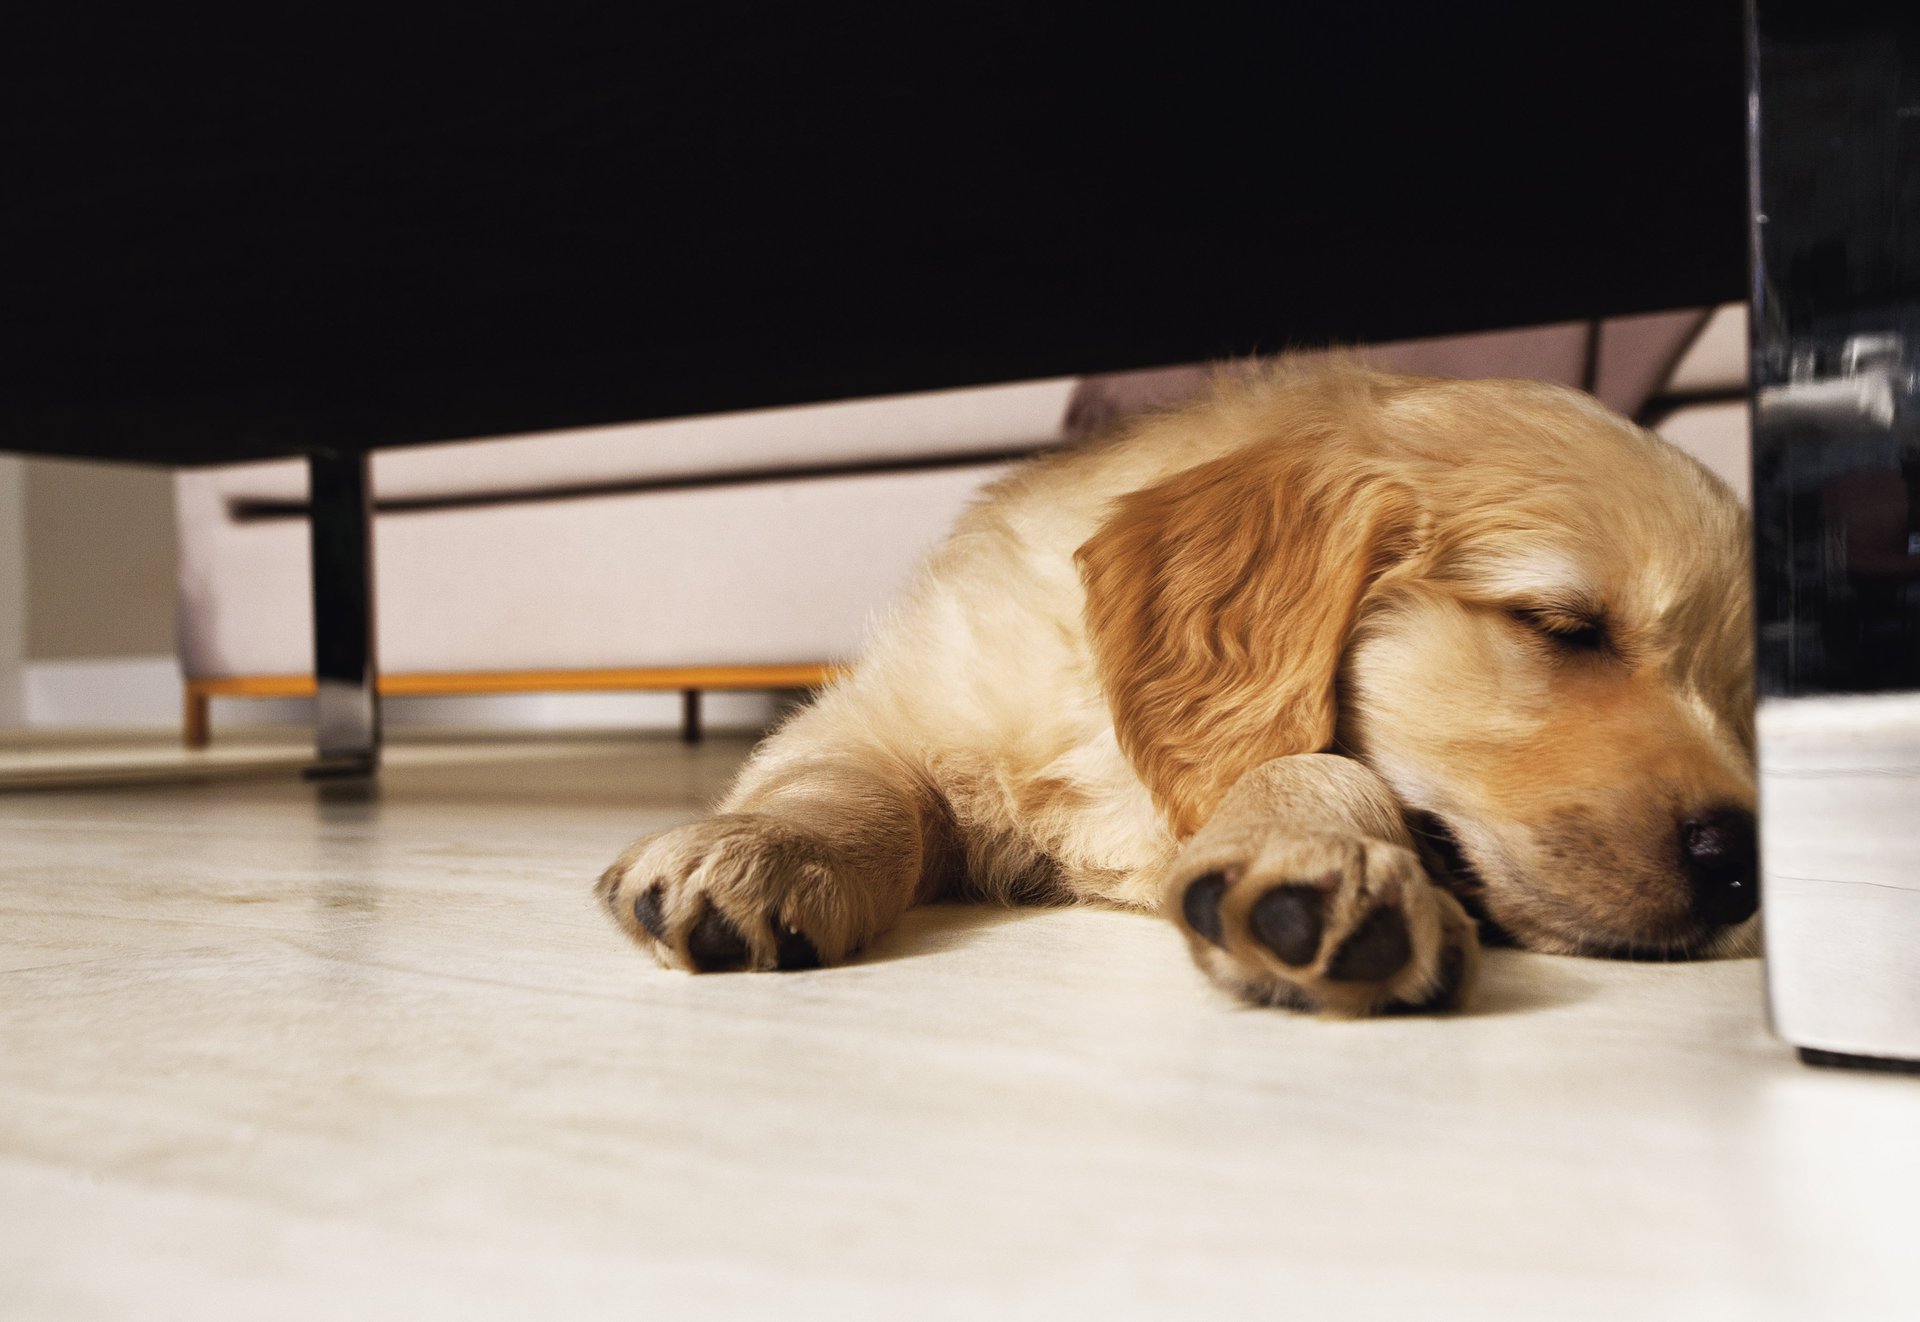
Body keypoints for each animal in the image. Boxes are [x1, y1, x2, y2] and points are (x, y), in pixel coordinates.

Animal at [596, 362, 1756, 1015]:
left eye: (1748, 701)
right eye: (1563, 627)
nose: (1745, 862)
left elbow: (1315, 761)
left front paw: (1320, 859)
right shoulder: (897, 701)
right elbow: (849, 782)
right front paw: (763, 849)